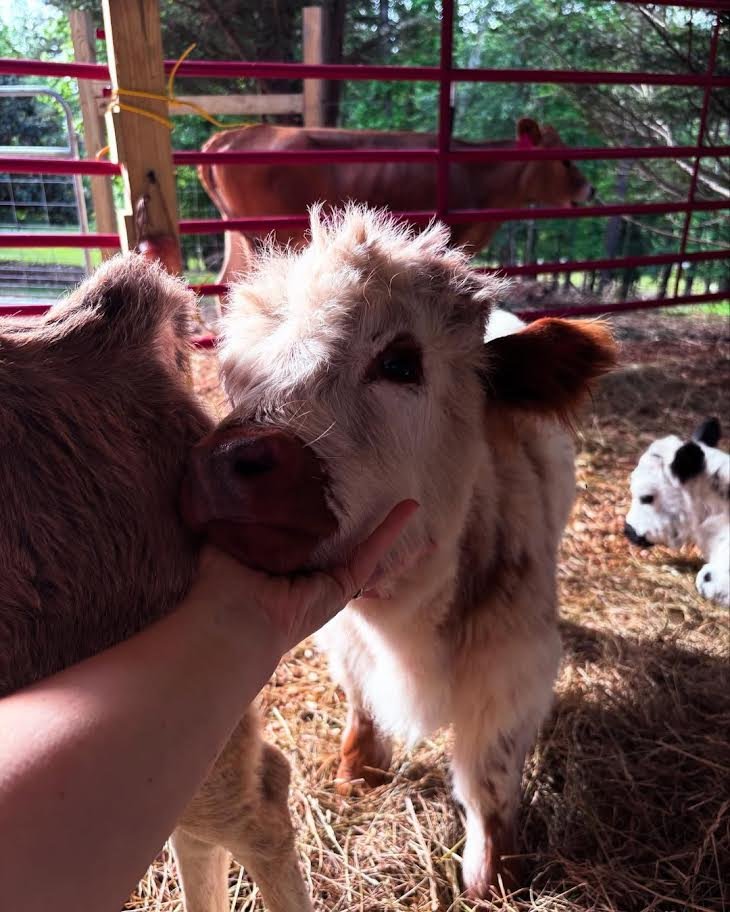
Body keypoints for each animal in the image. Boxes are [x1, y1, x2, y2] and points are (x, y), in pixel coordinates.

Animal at [184, 205, 617, 897]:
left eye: (401, 363)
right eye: (234, 373)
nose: (226, 462)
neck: (401, 617)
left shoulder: (514, 664)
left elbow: (488, 774)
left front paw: (493, 871)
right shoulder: (344, 637)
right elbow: (362, 700)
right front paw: (360, 768)